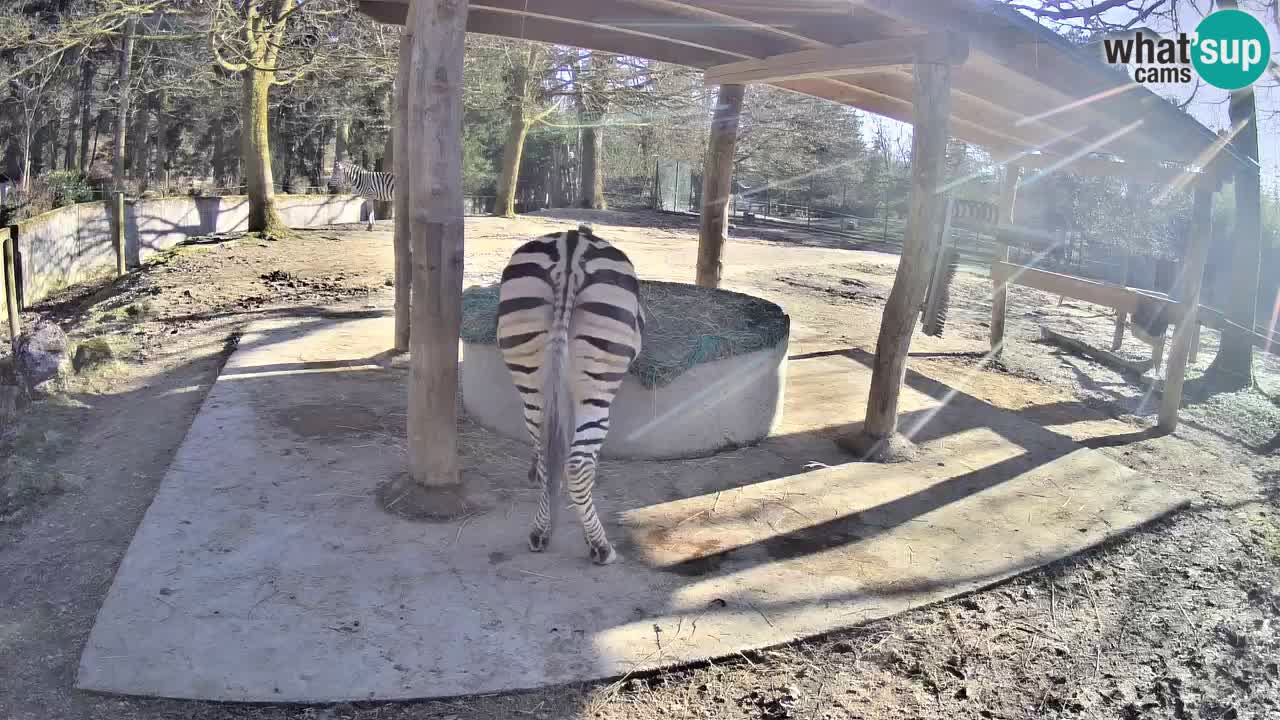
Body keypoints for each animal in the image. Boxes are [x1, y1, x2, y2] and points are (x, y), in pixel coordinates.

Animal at [495, 224, 644, 565]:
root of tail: (570, 252)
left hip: (531, 375)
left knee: (543, 446)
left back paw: (540, 531)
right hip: (597, 388)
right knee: (576, 466)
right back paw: (601, 547)